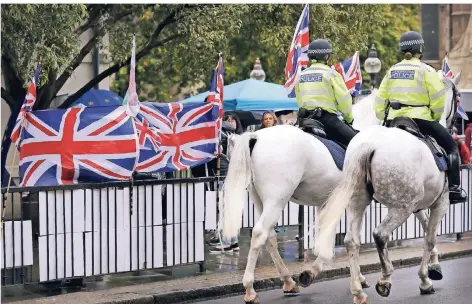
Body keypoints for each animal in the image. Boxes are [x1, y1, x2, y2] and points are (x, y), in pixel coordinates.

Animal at [219, 91, 436, 302]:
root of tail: (255, 136)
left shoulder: (327, 203)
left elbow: (329, 236)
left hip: (260, 200)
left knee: (269, 236)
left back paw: (288, 281)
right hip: (276, 199)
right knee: (259, 233)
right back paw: (250, 289)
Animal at [314, 72, 460, 304]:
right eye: (457, 98)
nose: (454, 127)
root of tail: (369, 145)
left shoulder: (419, 204)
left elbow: (425, 228)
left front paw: (434, 267)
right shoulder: (440, 202)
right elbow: (429, 238)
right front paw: (425, 279)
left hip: (357, 201)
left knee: (351, 240)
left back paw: (357, 289)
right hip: (400, 207)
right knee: (380, 235)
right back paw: (384, 279)